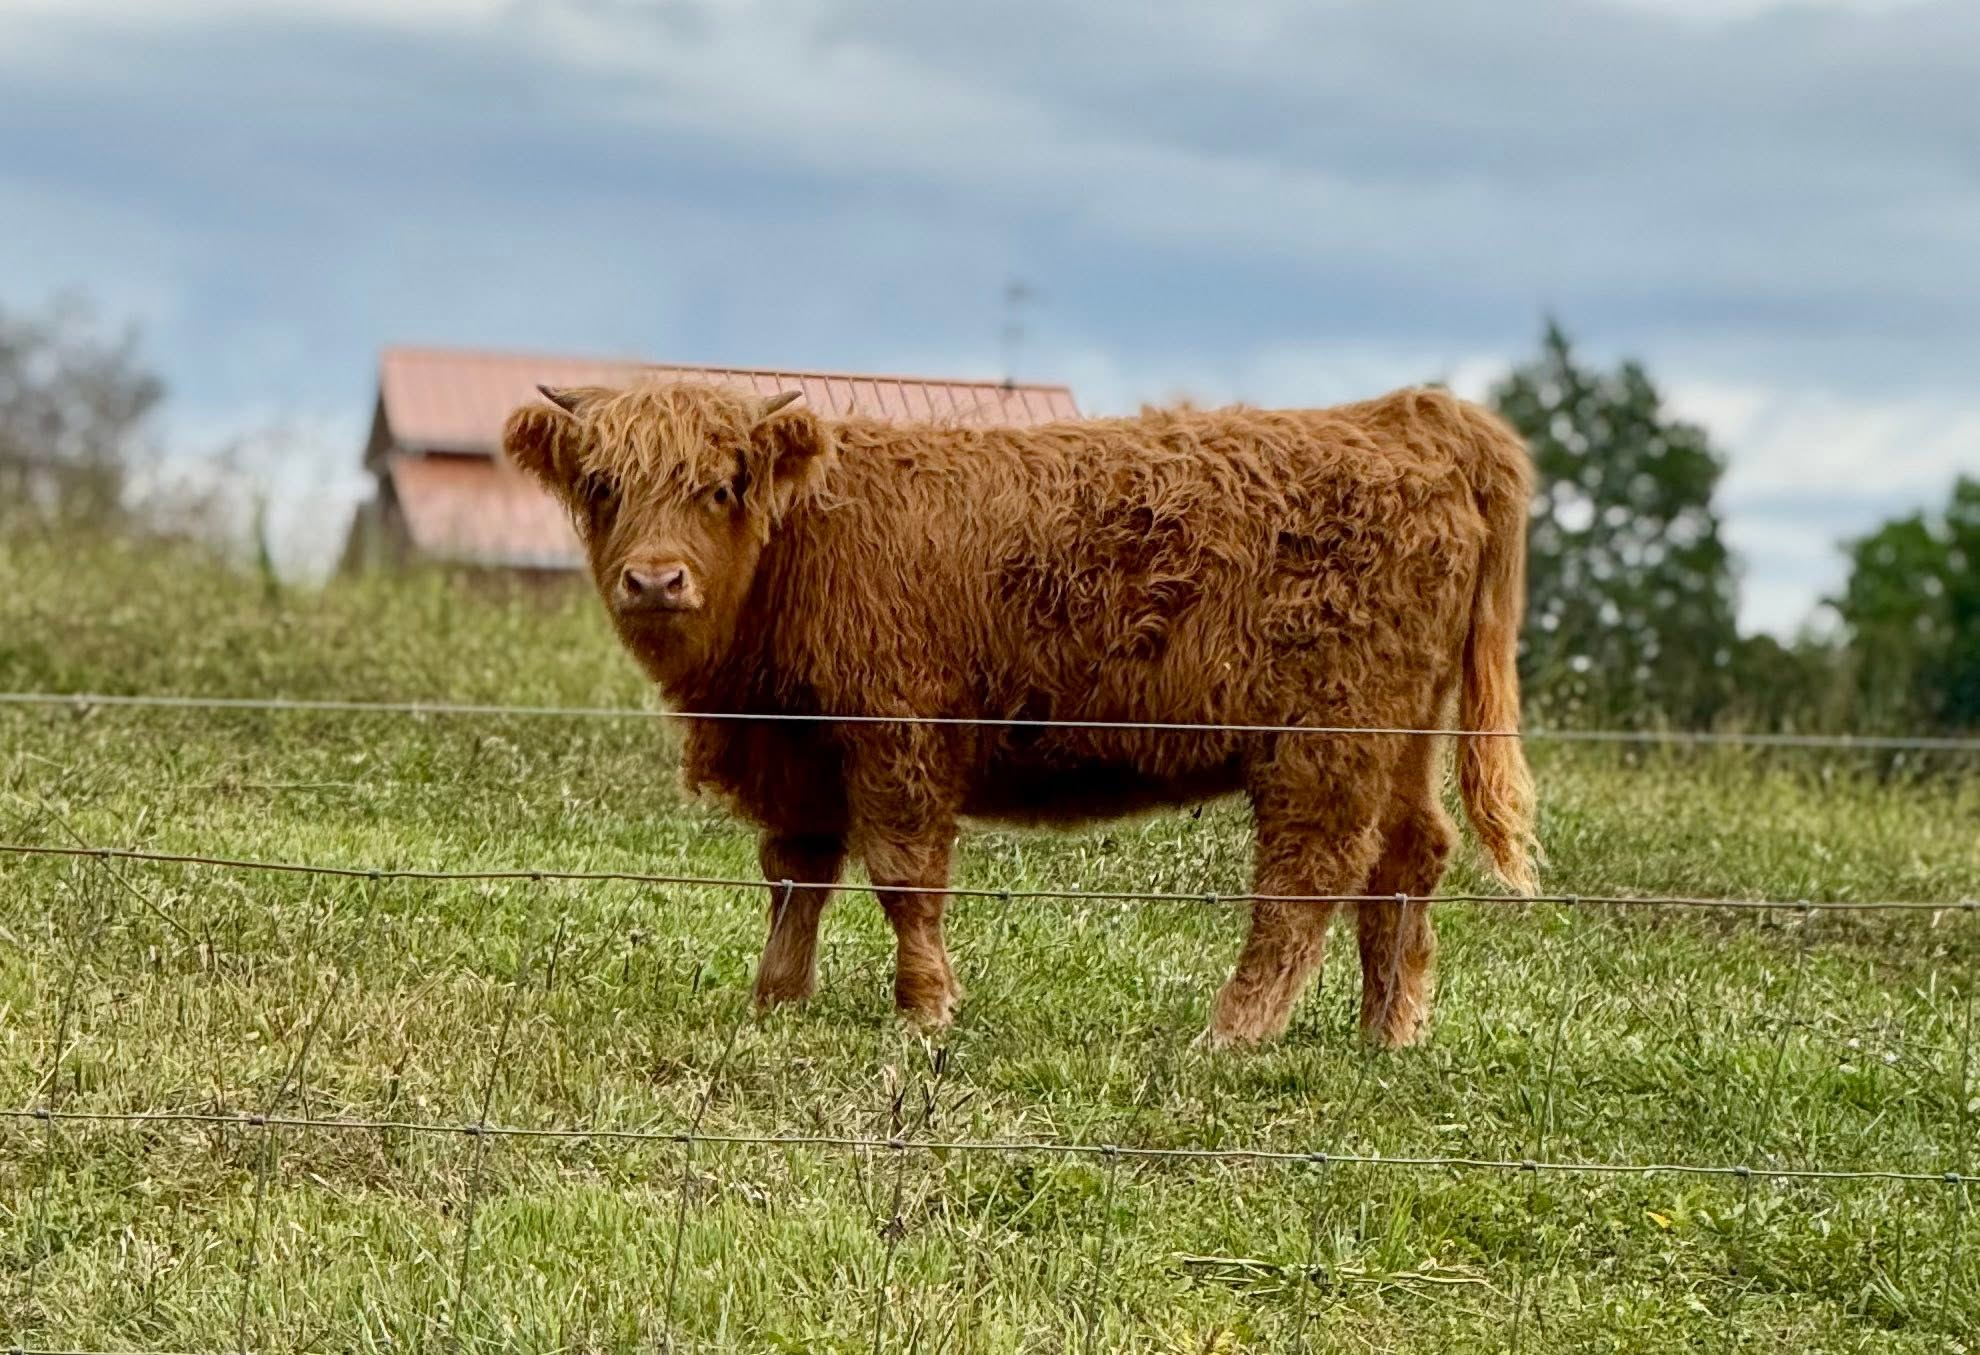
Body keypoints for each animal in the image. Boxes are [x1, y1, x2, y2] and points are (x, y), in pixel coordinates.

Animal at [501, 380, 1539, 1048]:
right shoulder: (794, 753)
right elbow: (796, 875)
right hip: (1401, 734)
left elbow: (903, 876)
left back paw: (1233, 1032)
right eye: (603, 488)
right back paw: (1385, 1032)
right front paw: (777, 999)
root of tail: (1409, 415)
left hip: (1328, 738)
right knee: (1409, 856)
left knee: (1309, 874)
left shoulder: (899, 733)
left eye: (719, 487)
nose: (654, 579)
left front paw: (924, 1008)